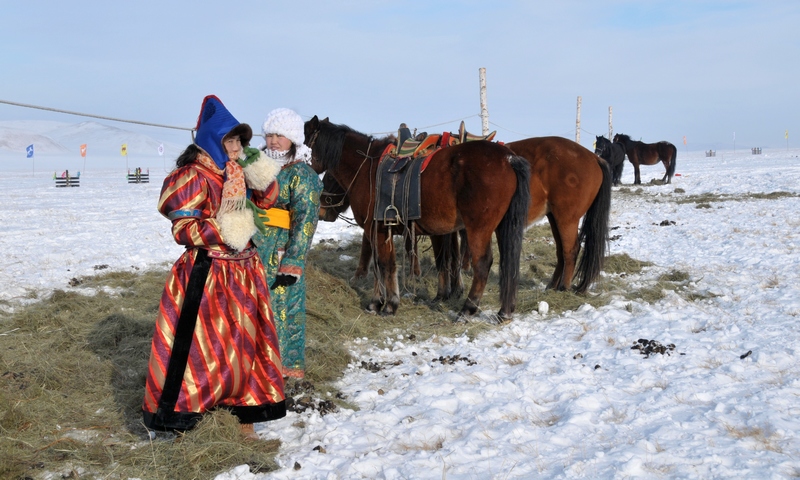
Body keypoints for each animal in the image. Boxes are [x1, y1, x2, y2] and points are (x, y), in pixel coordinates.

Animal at [306, 115, 532, 322]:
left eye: (330, 177)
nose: (322, 211)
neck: (366, 169)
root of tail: (508, 158)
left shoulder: (377, 230)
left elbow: (385, 265)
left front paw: (388, 305)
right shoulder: (381, 231)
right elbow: (382, 266)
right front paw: (378, 303)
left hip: (479, 228)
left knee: (483, 263)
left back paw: (467, 309)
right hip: (502, 227)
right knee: (507, 265)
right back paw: (504, 311)